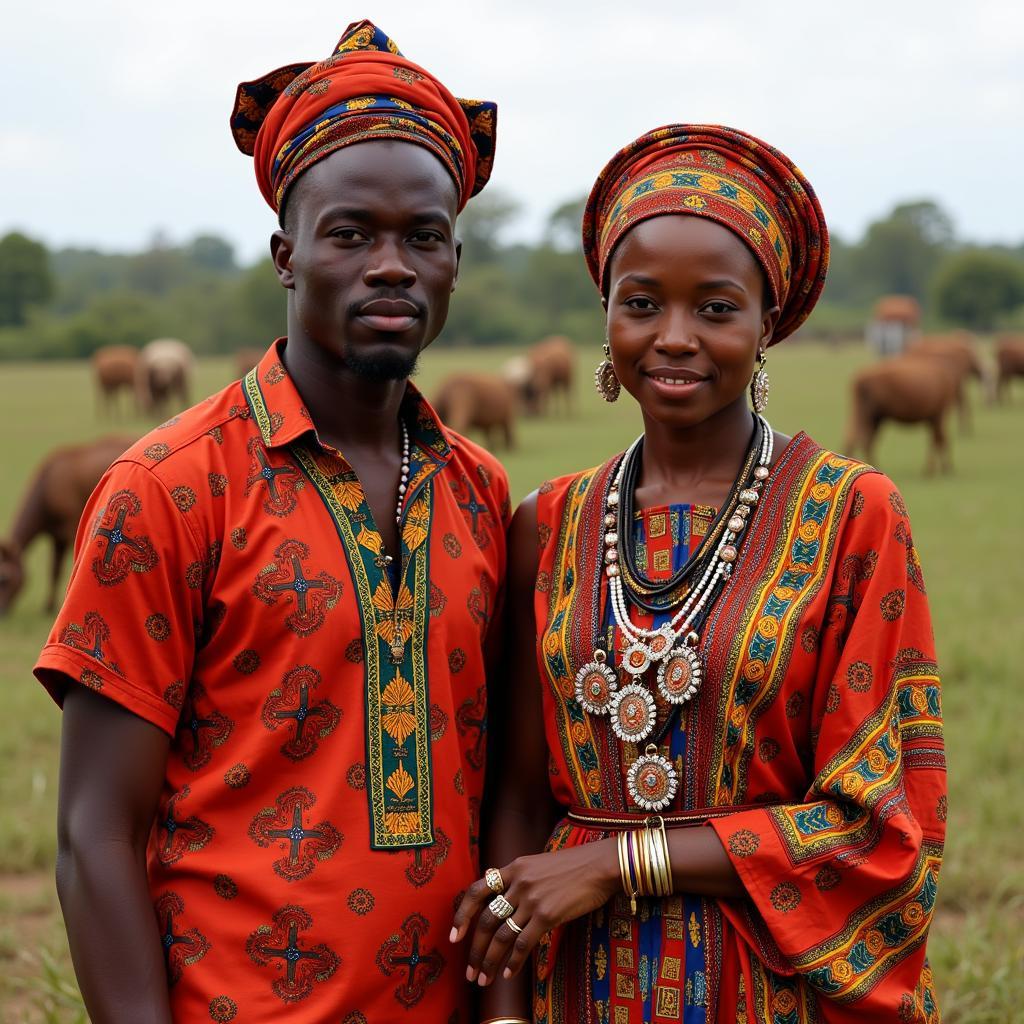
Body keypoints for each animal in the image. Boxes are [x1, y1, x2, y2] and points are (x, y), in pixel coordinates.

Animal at [0, 434, 134, 610]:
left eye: (4, 579)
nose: (2, 609)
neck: (46, 490)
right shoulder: (57, 537)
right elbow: (54, 570)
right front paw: (49, 605)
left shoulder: (71, 528)